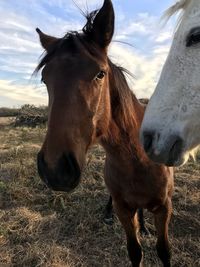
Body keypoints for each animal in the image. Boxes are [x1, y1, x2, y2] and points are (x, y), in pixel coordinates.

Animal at [35, 1, 173, 266]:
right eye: (45, 79)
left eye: (100, 73)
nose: (56, 169)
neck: (138, 157)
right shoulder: (123, 210)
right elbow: (134, 251)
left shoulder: (164, 208)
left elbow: (164, 251)